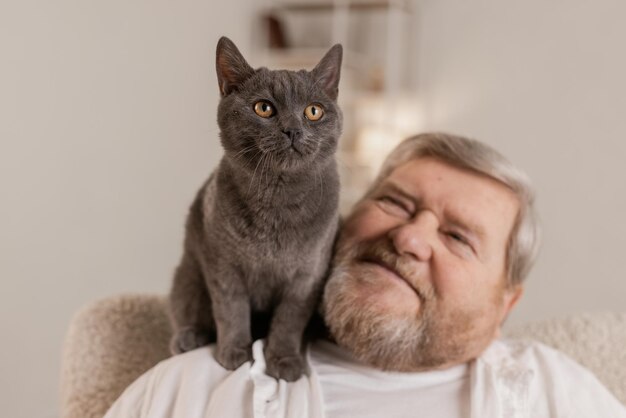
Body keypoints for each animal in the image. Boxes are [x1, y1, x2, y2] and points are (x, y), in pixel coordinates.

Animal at [167, 36, 342, 382]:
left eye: (313, 111)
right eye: (264, 108)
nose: (293, 129)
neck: (277, 203)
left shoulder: (307, 277)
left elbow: (288, 321)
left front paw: (284, 360)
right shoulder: (223, 265)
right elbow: (231, 310)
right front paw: (234, 353)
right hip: (188, 275)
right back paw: (188, 337)